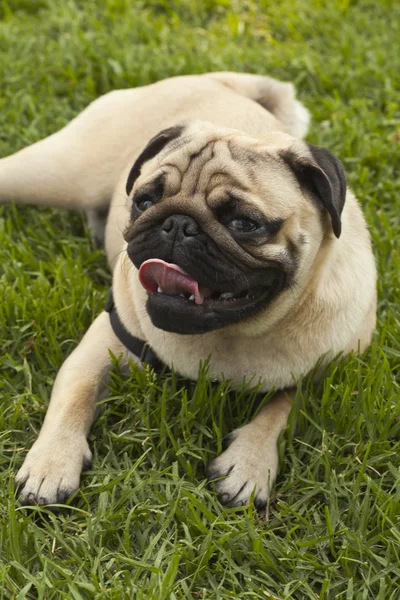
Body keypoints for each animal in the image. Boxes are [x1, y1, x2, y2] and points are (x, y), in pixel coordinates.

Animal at [0, 72, 376, 508]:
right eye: (144, 202)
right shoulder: (103, 341)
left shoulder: (325, 376)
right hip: (60, 170)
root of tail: (221, 80)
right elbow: (74, 394)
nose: (177, 224)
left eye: (244, 224)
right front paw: (51, 462)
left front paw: (249, 463)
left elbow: (283, 408)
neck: (229, 335)